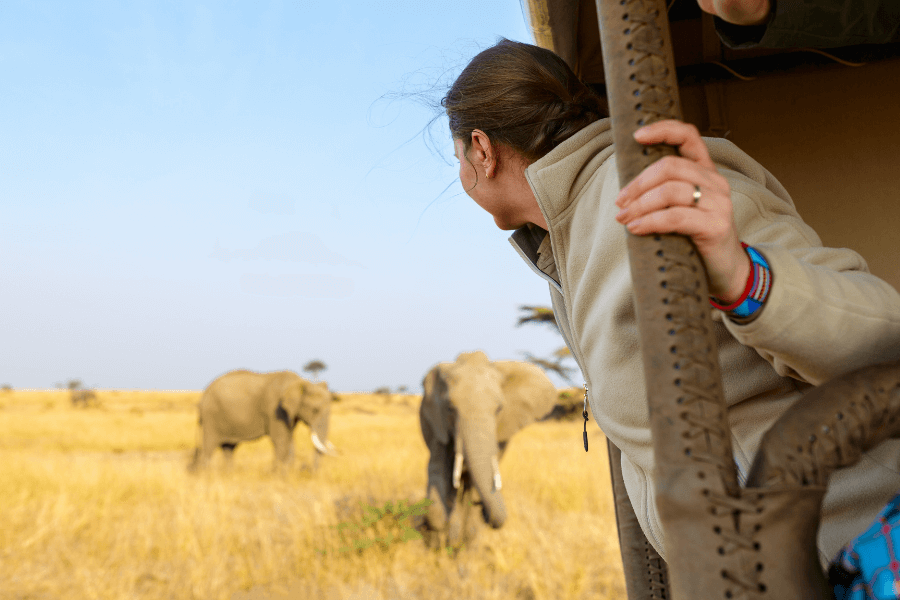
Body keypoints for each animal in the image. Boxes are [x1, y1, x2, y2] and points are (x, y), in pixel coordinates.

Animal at [189, 369, 337, 471]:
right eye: (315, 410)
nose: (309, 471)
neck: (301, 382)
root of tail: (202, 397)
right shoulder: (276, 410)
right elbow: (281, 440)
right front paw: (278, 475)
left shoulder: (290, 413)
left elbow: (289, 439)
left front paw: (287, 473)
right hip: (211, 418)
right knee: (208, 447)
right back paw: (205, 476)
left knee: (229, 449)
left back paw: (228, 475)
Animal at [418, 351, 558, 548]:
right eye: (450, 409)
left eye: (499, 409)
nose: (481, 508)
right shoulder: (438, 424)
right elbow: (440, 469)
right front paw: (439, 529)